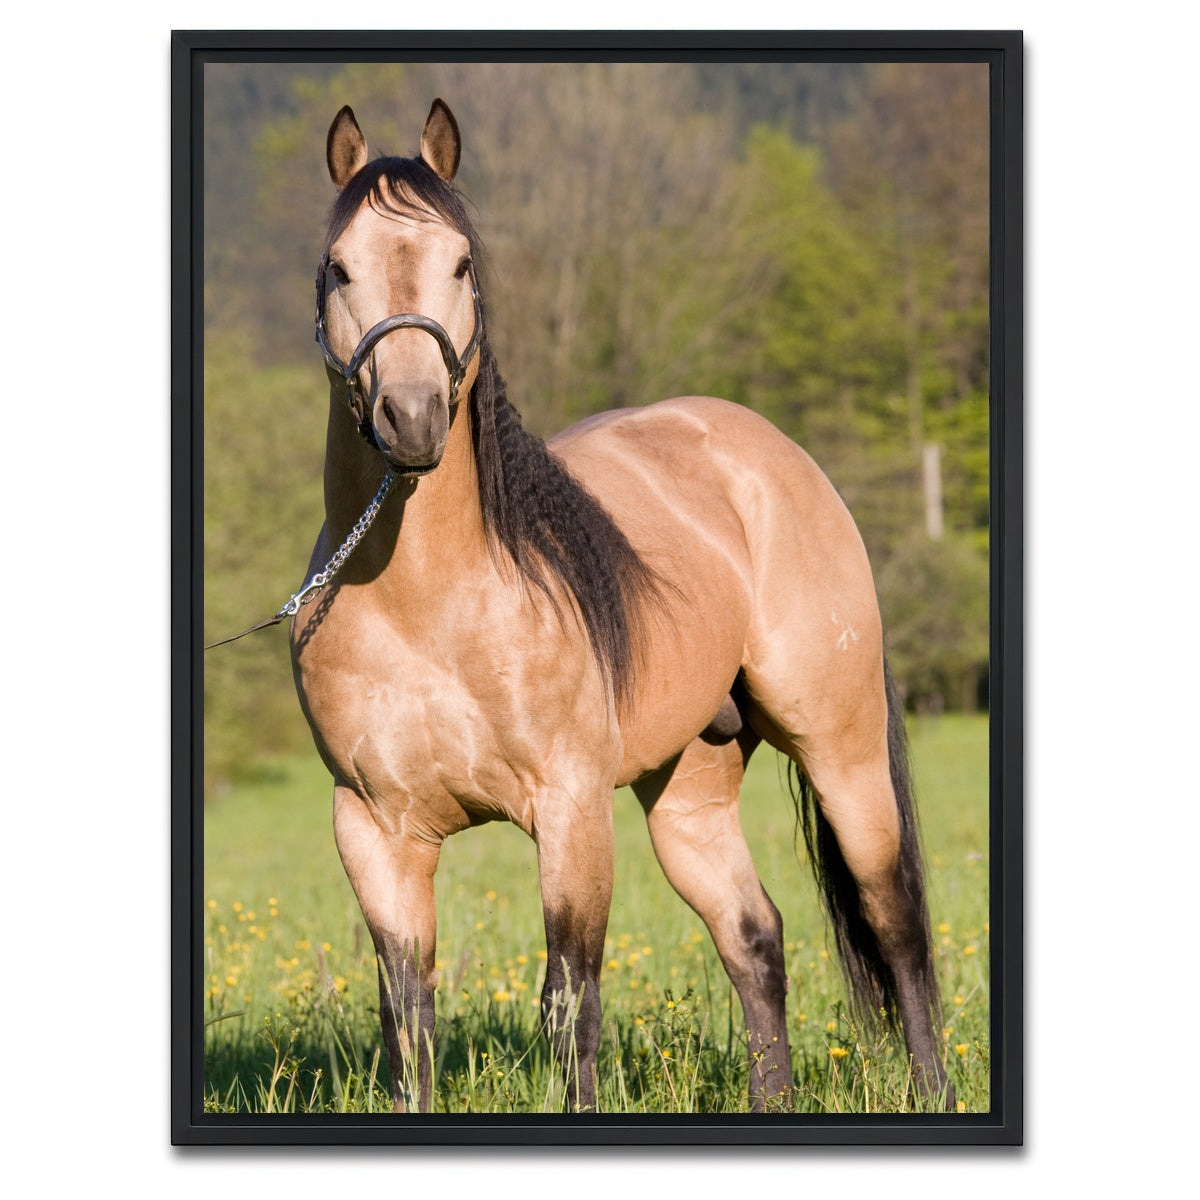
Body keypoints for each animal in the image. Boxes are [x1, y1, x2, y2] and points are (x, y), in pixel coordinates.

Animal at [289, 98, 952, 1114]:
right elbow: (408, 1018)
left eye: (463, 263)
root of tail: (772, 453)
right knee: (754, 938)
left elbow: (570, 1002)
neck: (426, 605)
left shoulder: (568, 810)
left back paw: (931, 1089)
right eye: (339, 265)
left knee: (894, 921)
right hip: (688, 791)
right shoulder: (372, 829)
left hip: (841, 750)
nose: (413, 415)